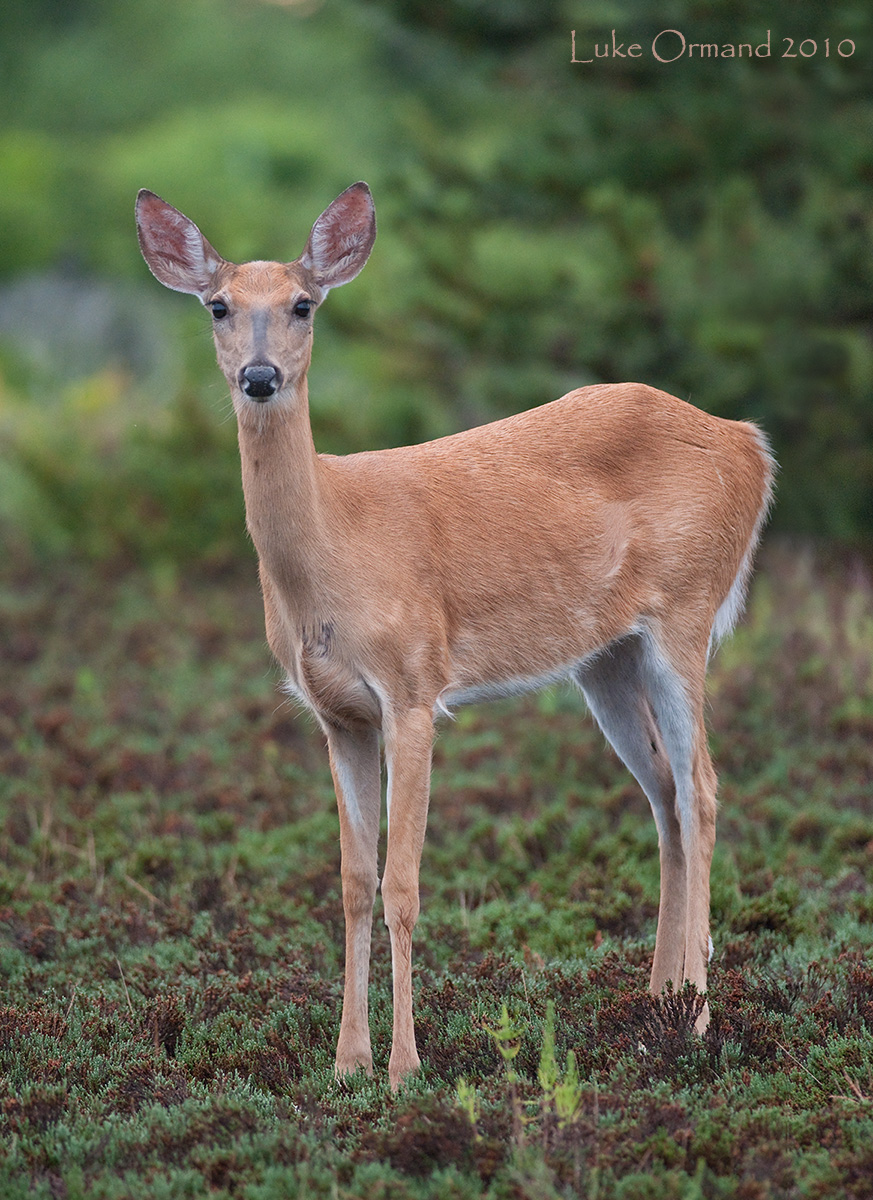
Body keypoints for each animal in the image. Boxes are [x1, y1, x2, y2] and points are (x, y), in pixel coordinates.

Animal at [136, 182, 774, 1090]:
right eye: (218, 306)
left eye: (302, 304)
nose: (260, 376)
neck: (333, 549)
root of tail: (748, 442)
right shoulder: (336, 714)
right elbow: (352, 880)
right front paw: (347, 1063)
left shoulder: (413, 684)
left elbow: (402, 883)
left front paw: (404, 1069)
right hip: (604, 657)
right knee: (662, 794)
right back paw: (658, 1005)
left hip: (685, 610)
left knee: (702, 789)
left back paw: (696, 1021)